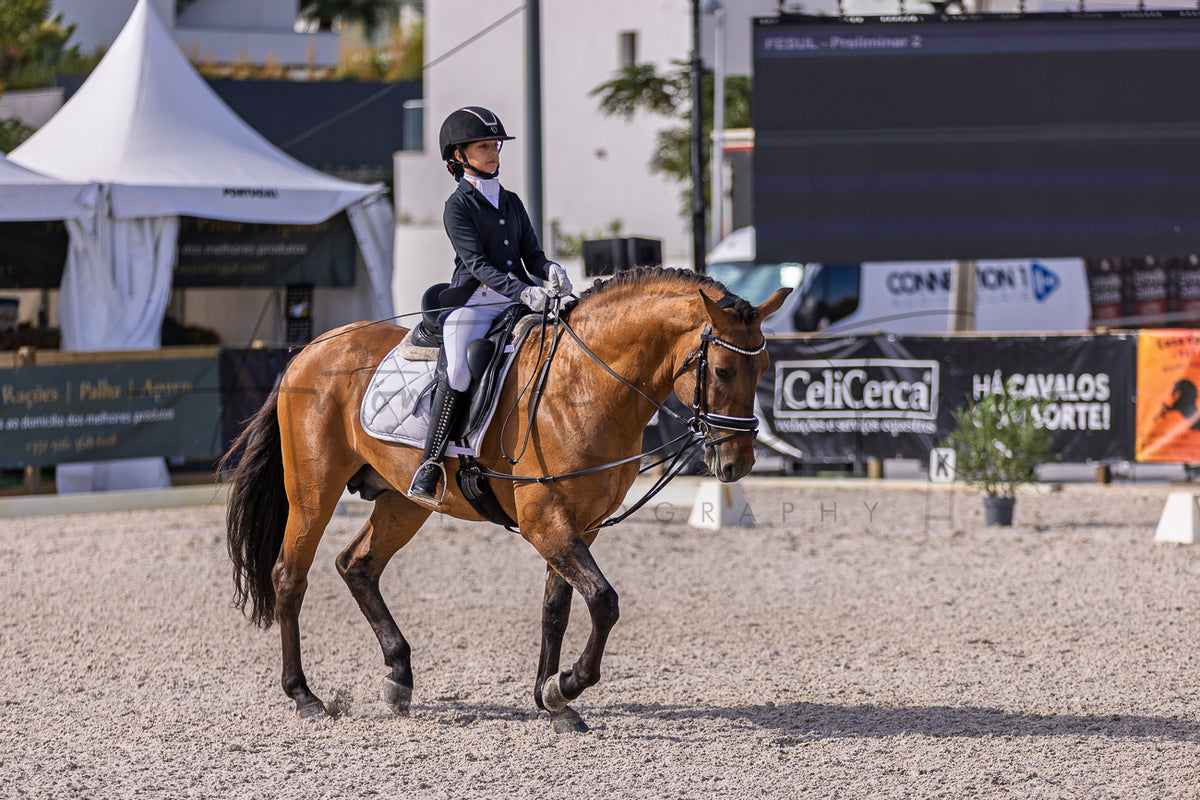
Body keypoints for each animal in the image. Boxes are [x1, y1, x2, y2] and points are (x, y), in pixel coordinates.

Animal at [223, 266, 790, 733]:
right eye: (722, 371)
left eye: (764, 368)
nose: (737, 465)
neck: (584, 384)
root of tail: (309, 351)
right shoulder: (546, 521)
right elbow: (603, 602)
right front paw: (567, 685)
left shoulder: (581, 526)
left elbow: (557, 608)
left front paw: (552, 700)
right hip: (313, 494)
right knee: (289, 577)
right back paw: (305, 697)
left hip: (405, 501)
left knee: (357, 564)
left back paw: (399, 677)